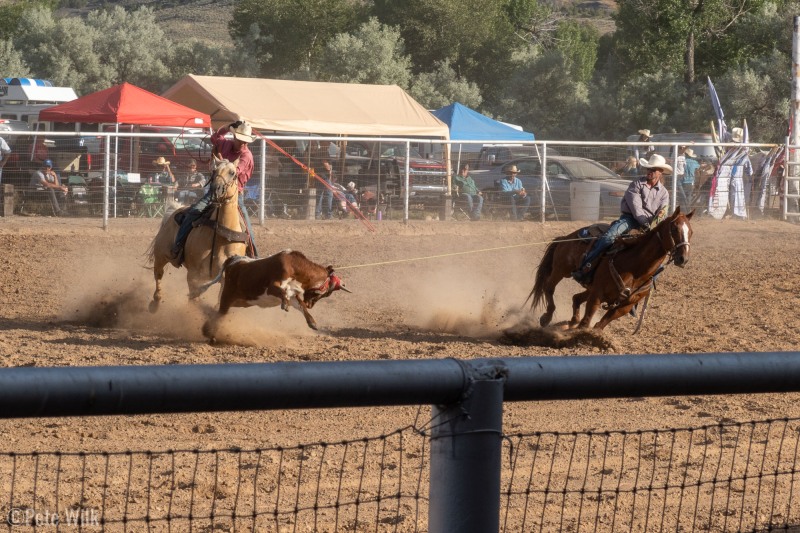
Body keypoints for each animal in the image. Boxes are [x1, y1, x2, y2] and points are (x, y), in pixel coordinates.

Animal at [146, 155, 247, 312]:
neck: (220, 238)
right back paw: (155, 303)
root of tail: (175, 209)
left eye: (232, 173)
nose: (216, 189)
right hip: (161, 255)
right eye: (214, 171)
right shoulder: (193, 275)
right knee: (158, 274)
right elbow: (194, 298)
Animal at [195, 248, 350, 340]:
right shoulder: (273, 287)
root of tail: (233, 260)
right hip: (227, 297)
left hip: (241, 301)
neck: (295, 267)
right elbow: (282, 293)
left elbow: (300, 306)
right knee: (220, 313)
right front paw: (285, 305)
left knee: (218, 311)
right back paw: (208, 332)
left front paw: (312, 322)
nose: (310, 304)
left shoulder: (293, 294)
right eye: (325, 294)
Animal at [528, 207, 692, 328]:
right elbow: (586, 323)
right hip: (561, 270)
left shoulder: (624, 306)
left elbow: (599, 326)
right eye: (674, 229)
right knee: (549, 287)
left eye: (690, 232)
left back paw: (571, 321)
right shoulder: (597, 294)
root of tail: (566, 237)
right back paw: (547, 317)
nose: (683, 258)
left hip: (587, 286)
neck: (636, 269)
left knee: (576, 298)